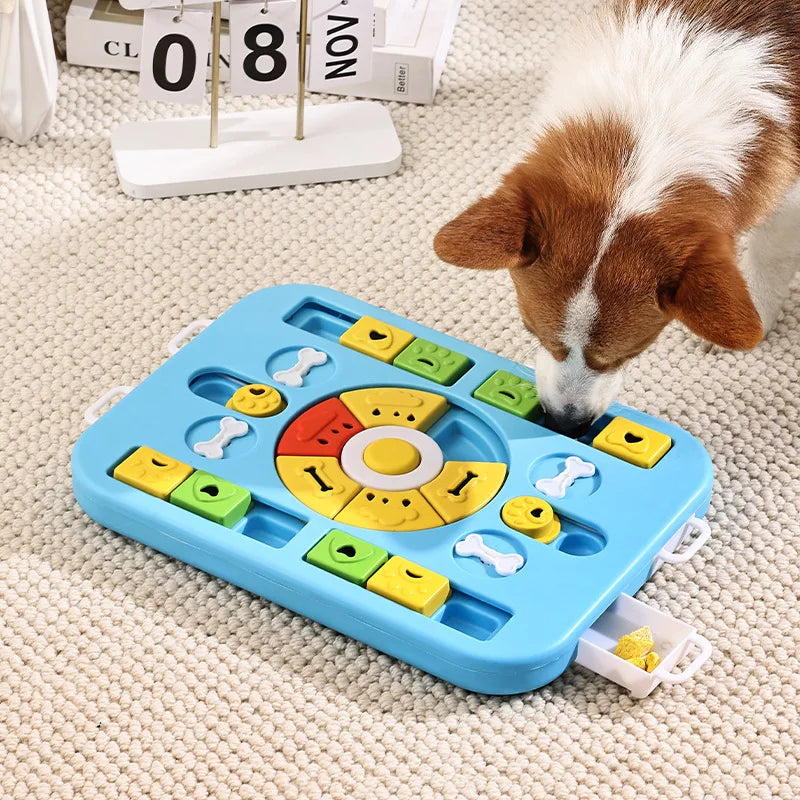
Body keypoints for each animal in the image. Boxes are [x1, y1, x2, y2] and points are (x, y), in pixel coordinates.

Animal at [434, 1, 800, 438]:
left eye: (632, 353)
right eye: (530, 330)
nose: (564, 424)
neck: (661, 104)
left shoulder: (789, 200)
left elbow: (771, 259)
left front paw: (757, 311)